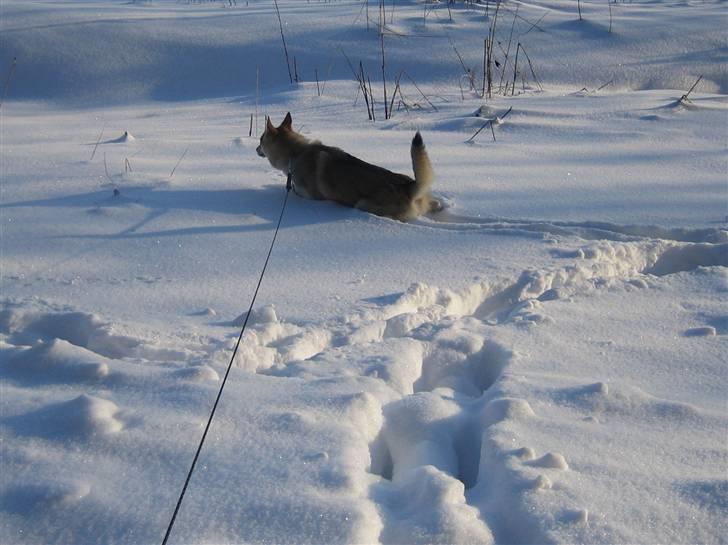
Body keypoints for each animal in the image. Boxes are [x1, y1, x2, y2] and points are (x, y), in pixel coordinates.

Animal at [255, 112, 438, 221]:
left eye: (260, 139)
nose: (256, 149)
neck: (296, 153)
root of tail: (409, 186)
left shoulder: (310, 197)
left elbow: (294, 190)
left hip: (362, 204)